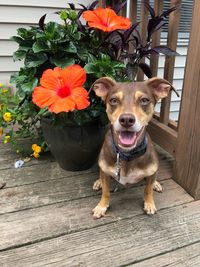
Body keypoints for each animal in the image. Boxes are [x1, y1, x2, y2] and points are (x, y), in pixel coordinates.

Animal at [90, 76, 173, 219]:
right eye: (113, 100)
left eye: (144, 100)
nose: (127, 120)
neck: (127, 154)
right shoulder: (105, 171)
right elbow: (106, 192)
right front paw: (101, 206)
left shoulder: (151, 172)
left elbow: (148, 190)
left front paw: (149, 203)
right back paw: (98, 182)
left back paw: (156, 184)